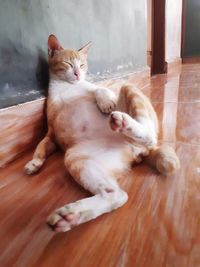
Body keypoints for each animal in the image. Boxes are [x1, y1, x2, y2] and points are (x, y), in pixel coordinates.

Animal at [24, 35, 180, 232]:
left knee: (150, 136)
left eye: (82, 65)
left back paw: (124, 122)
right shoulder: (51, 134)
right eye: (68, 63)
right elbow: (41, 146)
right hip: (76, 158)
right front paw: (34, 163)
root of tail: (136, 150)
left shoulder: (99, 89)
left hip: (128, 88)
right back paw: (69, 216)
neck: (67, 86)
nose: (78, 74)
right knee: (116, 195)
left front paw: (105, 102)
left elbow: (100, 88)